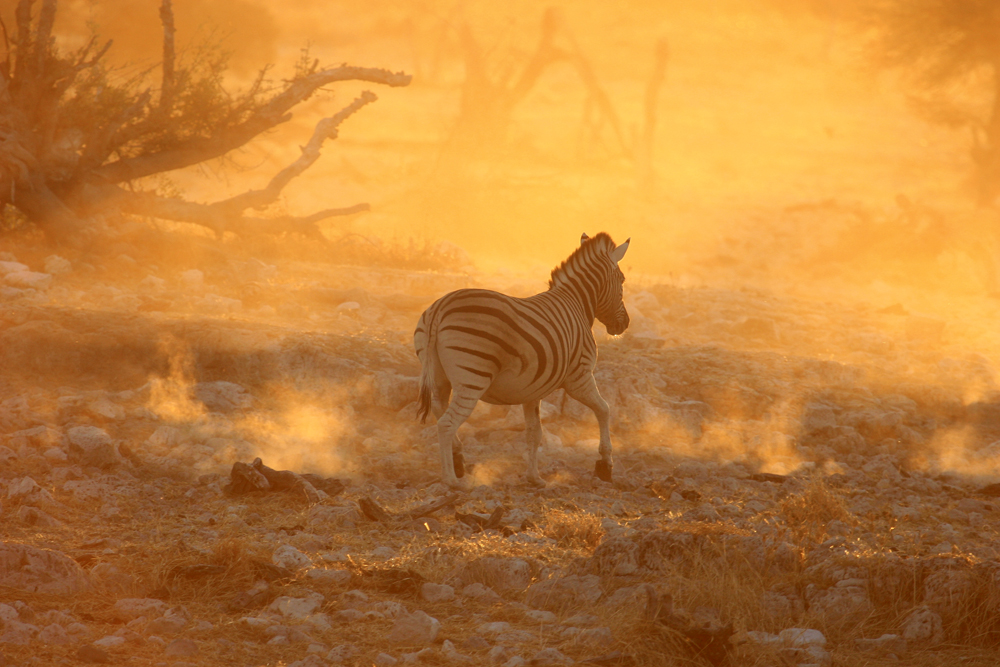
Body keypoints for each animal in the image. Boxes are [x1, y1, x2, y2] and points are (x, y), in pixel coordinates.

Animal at [410, 232, 628, 488]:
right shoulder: (580, 377)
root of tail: (440, 308)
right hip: (473, 378)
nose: (624, 325)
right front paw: (605, 465)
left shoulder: (532, 389)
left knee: (438, 410)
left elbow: (534, 432)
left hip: (439, 377)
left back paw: (458, 460)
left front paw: (534, 478)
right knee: (446, 424)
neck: (577, 304)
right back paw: (451, 480)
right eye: (622, 280)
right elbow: (604, 410)